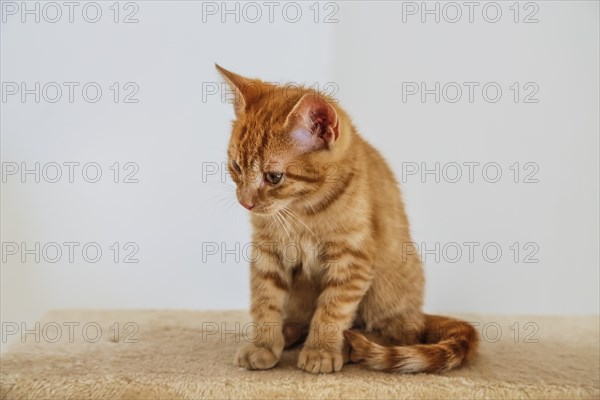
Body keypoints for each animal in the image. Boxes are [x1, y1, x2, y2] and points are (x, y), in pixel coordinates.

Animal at [216, 64, 478, 374]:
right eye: (236, 166)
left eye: (274, 176)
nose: (245, 202)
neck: (303, 211)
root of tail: (419, 313)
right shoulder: (267, 251)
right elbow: (264, 299)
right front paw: (264, 344)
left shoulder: (353, 258)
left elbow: (333, 308)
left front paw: (321, 350)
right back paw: (291, 332)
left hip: (387, 287)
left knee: (402, 334)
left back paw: (353, 345)